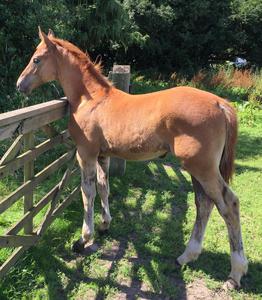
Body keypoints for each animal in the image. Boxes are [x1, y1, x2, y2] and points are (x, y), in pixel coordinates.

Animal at [16, 29, 248, 288]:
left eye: (36, 59)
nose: (20, 85)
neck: (91, 99)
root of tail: (220, 103)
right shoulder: (103, 155)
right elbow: (104, 187)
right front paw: (105, 224)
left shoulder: (85, 153)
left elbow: (88, 192)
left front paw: (83, 239)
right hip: (196, 168)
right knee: (204, 204)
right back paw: (186, 257)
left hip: (203, 168)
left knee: (228, 204)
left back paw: (235, 274)